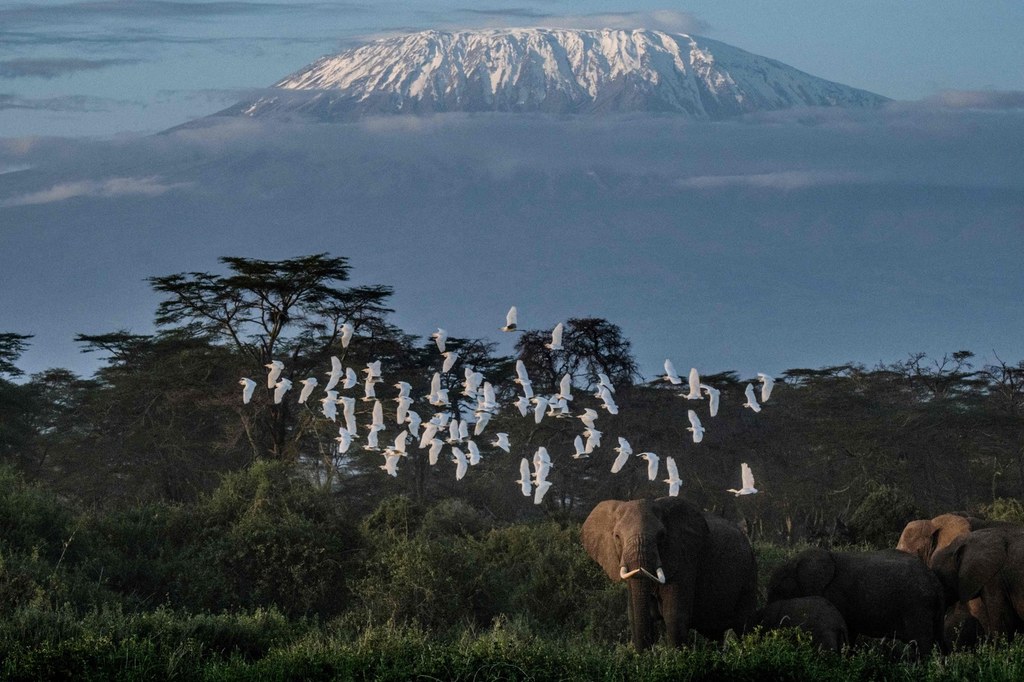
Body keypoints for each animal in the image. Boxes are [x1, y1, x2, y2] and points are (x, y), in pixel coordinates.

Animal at [581, 493, 757, 647]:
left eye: (661, 536)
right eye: (617, 537)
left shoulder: (684, 559)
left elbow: (674, 617)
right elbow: (635, 617)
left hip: (749, 573)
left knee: (746, 625)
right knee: (714, 636)